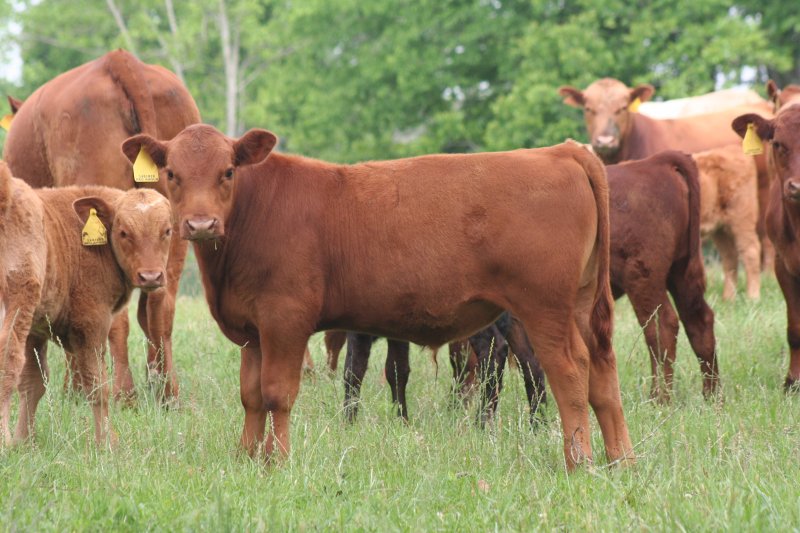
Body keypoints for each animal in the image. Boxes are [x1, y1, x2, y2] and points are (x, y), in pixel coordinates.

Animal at [0, 161, 173, 447]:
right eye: (123, 232)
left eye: (167, 231)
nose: (151, 276)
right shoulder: (91, 323)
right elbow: (97, 383)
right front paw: (107, 444)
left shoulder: (36, 328)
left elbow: (33, 383)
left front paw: (24, 442)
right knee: (8, 363)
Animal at [2, 49, 200, 403]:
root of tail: (118, 60)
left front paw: (75, 389)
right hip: (174, 227)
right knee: (161, 307)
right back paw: (167, 395)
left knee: (117, 318)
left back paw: (121, 393)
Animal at [121, 125, 634, 470]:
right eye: (172, 173)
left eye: (227, 171)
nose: (200, 224)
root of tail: (562, 152)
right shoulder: (252, 330)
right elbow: (250, 396)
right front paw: (247, 457)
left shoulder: (285, 320)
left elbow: (276, 394)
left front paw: (278, 461)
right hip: (582, 305)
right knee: (603, 371)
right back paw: (620, 460)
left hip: (546, 308)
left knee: (571, 371)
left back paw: (579, 460)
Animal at [694, 144, 761, 300]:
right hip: (720, 230)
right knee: (730, 257)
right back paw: (728, 299)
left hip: (742, 221)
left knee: (751, 251)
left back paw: (753, 297)